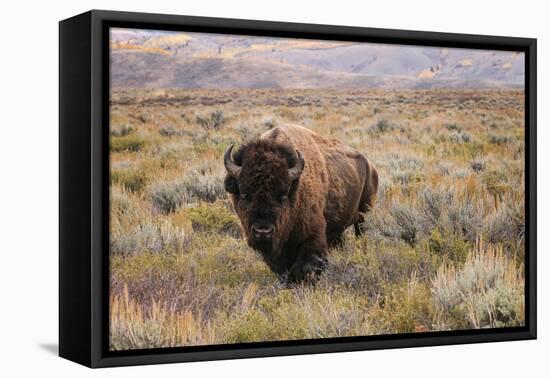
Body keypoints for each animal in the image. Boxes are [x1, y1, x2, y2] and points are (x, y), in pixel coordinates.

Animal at [224, 122, 380, 282]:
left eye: (283, 195)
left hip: (364, 215)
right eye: (244, 194)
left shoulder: (312, 236)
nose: (263, 231)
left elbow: (306, 266)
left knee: (361, 233)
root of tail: (370, 166)